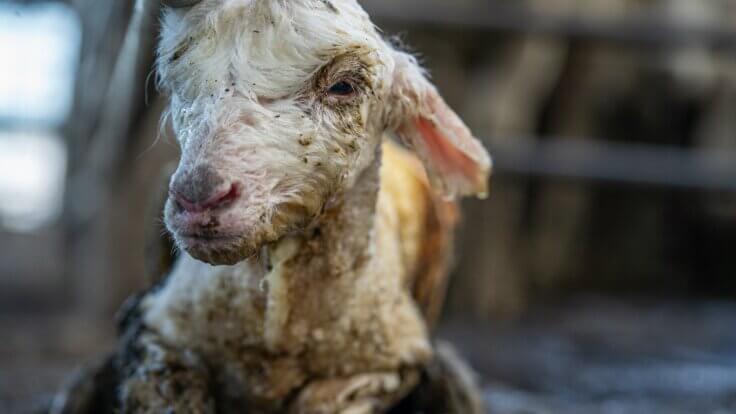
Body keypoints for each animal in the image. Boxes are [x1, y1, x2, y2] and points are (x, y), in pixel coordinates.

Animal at [56, 1, 491, 413]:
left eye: (344, 86)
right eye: (175, 84)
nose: (197, 197)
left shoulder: (390, 364)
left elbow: (325, 400)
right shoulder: (155, 330)